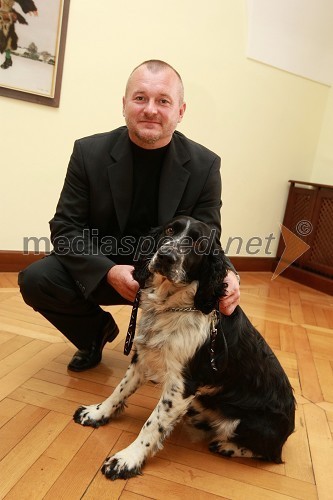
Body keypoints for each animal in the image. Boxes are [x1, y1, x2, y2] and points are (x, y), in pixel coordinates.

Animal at [74, 216, 294, 480]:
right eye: (170, 230)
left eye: (199, 244)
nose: (166, 256)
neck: (172, 304)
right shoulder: (143, 358)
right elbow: (119, 390)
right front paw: (97, 413)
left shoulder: (181, 385)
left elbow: (152, 423)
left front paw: (127, 459)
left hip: (248, 425)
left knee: (270, 454)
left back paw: (228, 446)